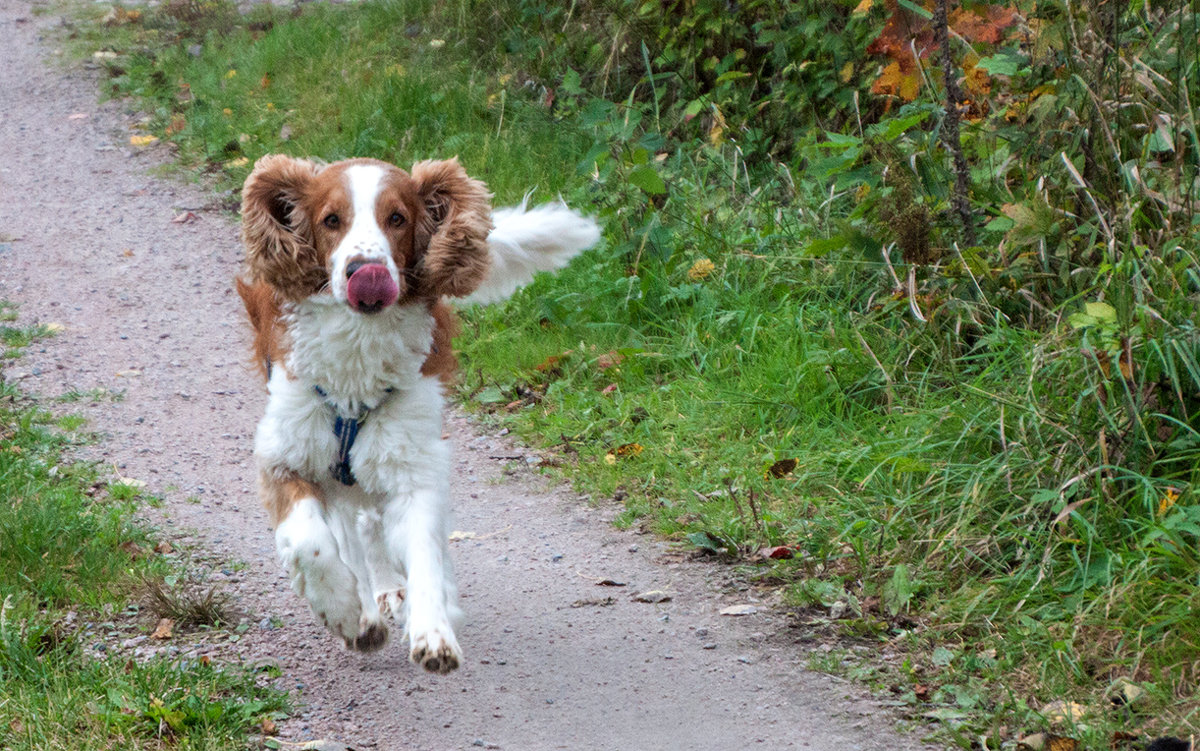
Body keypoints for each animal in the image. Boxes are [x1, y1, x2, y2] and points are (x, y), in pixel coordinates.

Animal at [235, 154, 600, 671]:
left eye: (397, 218)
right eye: (331, 220)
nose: (365, 271)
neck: (358, 357)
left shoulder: (413, 463)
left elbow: (424, 550)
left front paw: (434, 630)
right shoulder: (285, 454)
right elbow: (310, 542)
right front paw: (347, 611)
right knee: (351, 527)